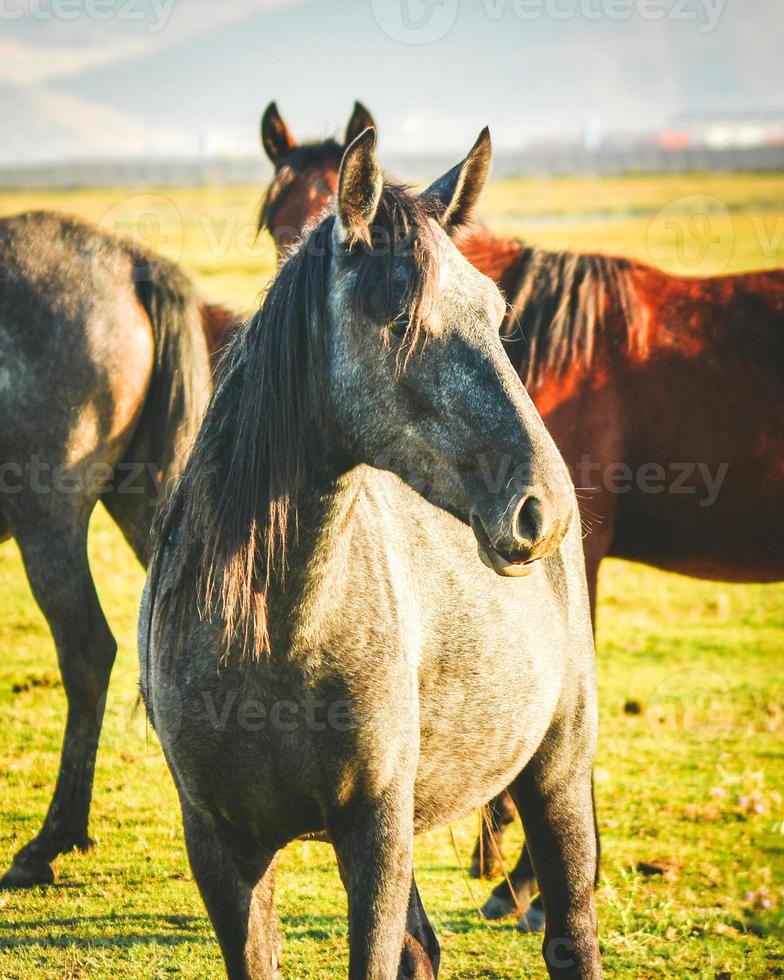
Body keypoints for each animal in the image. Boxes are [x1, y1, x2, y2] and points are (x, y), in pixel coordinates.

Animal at [141, 126, 600, 976]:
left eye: (495, 312)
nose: (542, 510)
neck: (276, 637)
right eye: (399, 317)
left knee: (571, 934)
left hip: (556, 775)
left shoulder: (375, 836)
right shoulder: (223, 852)